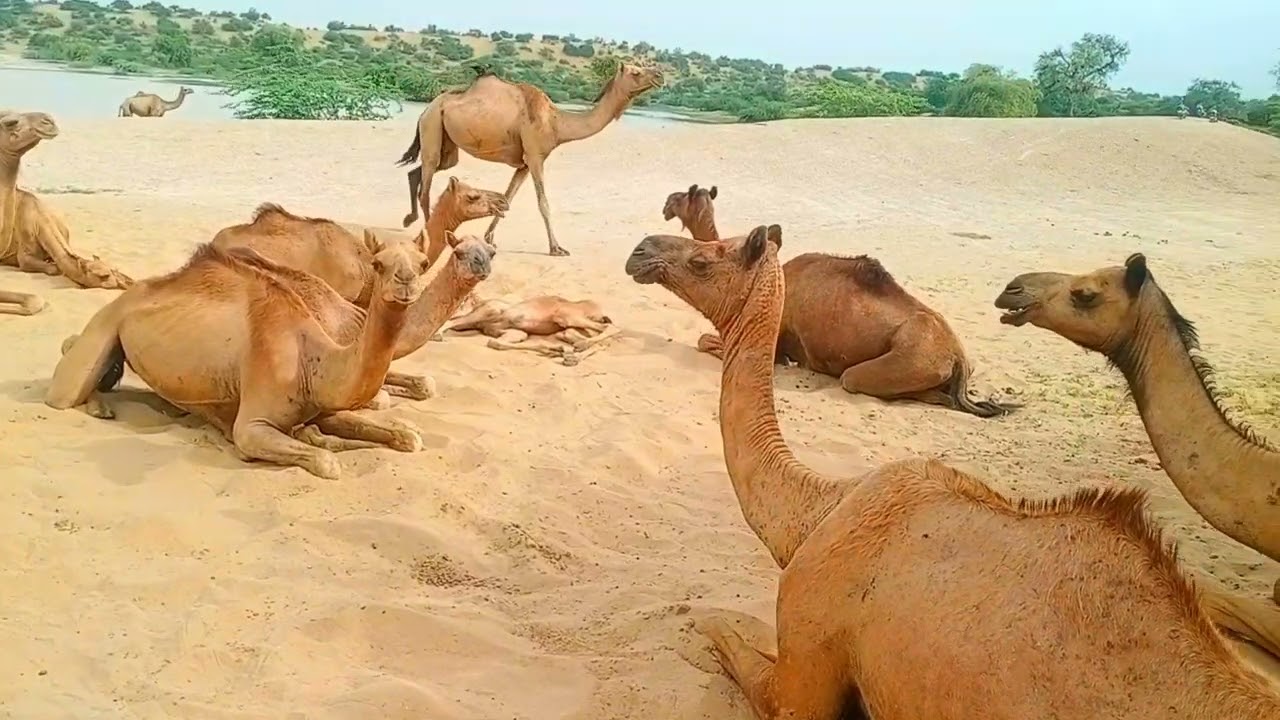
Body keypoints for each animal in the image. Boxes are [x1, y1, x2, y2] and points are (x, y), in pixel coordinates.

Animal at [1, 110, 133, 289]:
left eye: (114, 270)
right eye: (102, 275)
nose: (48, 120)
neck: (41, 223)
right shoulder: (25, 254)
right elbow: (52, 268)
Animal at [46, 232, 495, 479]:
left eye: (423, 261)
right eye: (378, 263)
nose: (405, 282)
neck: (314, 356)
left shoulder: (326, 403)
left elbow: (403, 435)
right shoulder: (253, 424)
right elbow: (326, 458)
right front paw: (324, 444)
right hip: (105, 327)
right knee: (65, 384)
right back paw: (100, 406)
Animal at [395, 63, 664, 256]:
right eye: (636, 71)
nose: (660, 74)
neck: (557, 123)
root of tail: (428, 106)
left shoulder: (524, 164)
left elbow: (507, 198)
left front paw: (489, 238)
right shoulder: (535, 157)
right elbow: (543, 203)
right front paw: (557, 248)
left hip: (447, 145)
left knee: (419, 171)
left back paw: (410, 219)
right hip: (432, 125)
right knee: (426, 184)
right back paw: (433, 231)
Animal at [436, 295, 619, 366]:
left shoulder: (490, 310)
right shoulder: (514, 331)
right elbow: (496, 342)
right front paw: (557, 350)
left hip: (564, 316)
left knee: (610, 328)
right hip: (568, 326)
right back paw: (570, 355)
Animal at [660, 184, 1011, 417]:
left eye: (681, 197)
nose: (665, 203)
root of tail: (958, 357)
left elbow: (704, 341)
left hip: (908, 360)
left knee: (860, 380)